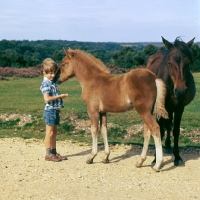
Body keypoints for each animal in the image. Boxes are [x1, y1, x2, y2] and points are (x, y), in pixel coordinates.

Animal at [146, 36, 196, 166]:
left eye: (188, 62)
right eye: (169, 63)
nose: (181, 91)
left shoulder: (179, 108)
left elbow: (176, 131)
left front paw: (177, 156)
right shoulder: (160, 108)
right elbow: (159, 130)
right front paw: (155, 158)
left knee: (168, 125)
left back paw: (168, 146)